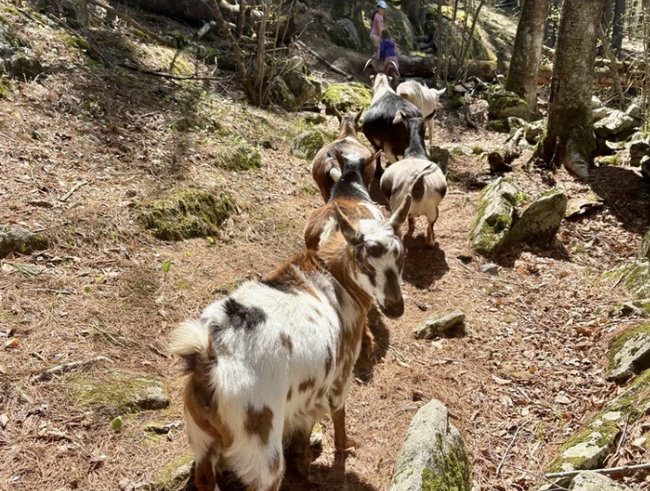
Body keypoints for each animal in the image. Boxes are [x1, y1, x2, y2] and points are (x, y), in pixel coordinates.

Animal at [170, 195, 411, 491]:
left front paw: (304, 463)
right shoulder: (340, 374)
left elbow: (304, 428)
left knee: (204, 478)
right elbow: (338, 412)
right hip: (262, 452)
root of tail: (209, 358)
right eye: (365, 264)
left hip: (201, 439)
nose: (395, 307)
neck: (333, 278)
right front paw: (345, 446)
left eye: (402, 256)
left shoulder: (303, 398)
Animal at [380, 110, 447, 248]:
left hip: (399, 208)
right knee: (430, 228)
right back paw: (430, 242)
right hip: (432, 211)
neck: (415, 152)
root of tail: (418, 184)